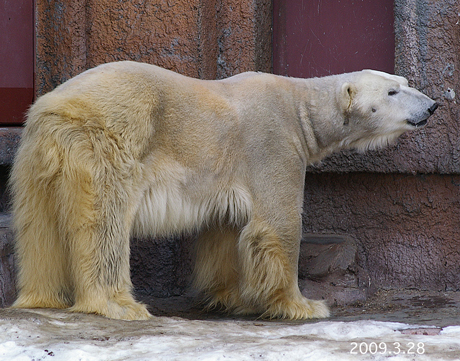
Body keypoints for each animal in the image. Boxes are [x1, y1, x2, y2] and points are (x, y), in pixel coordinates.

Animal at [9, 60, 436, 320]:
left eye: (405, 83)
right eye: (392, 92)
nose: (431, 106)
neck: (301, 109)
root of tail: (53, 109)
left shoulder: (229, 172)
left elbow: (227, 229)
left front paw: (231, 297)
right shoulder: (272, 143)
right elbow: (278, 224)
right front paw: (304, 305)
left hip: (38, 161)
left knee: (38, 230)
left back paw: (41, 297)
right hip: (108, 143)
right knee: (104, 223)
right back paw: (119, 304)